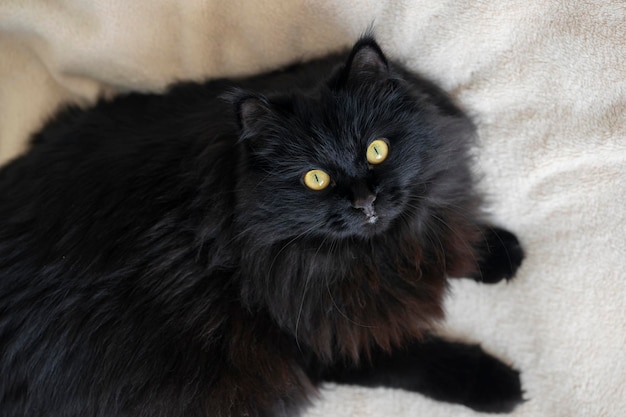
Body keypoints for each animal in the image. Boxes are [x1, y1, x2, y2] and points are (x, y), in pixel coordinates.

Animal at [0, 37, 524, 414]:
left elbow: (446, 238)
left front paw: (500, 251)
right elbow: (417, 362)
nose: (364, 200)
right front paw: (497, 384)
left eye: (377, 149)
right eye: (315, 178)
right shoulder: (323, 340)